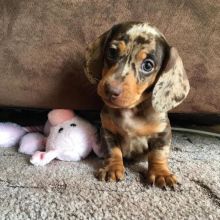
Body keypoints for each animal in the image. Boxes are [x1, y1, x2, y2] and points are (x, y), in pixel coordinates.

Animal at [84, 21, 189, 188]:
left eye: (147, 65)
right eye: (112, 52)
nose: (110, 90)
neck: (130, 110)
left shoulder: (162, 133)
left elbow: (158, 154)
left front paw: (161, 173)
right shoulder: (107, 132)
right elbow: (113, 151)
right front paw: (112, 168)